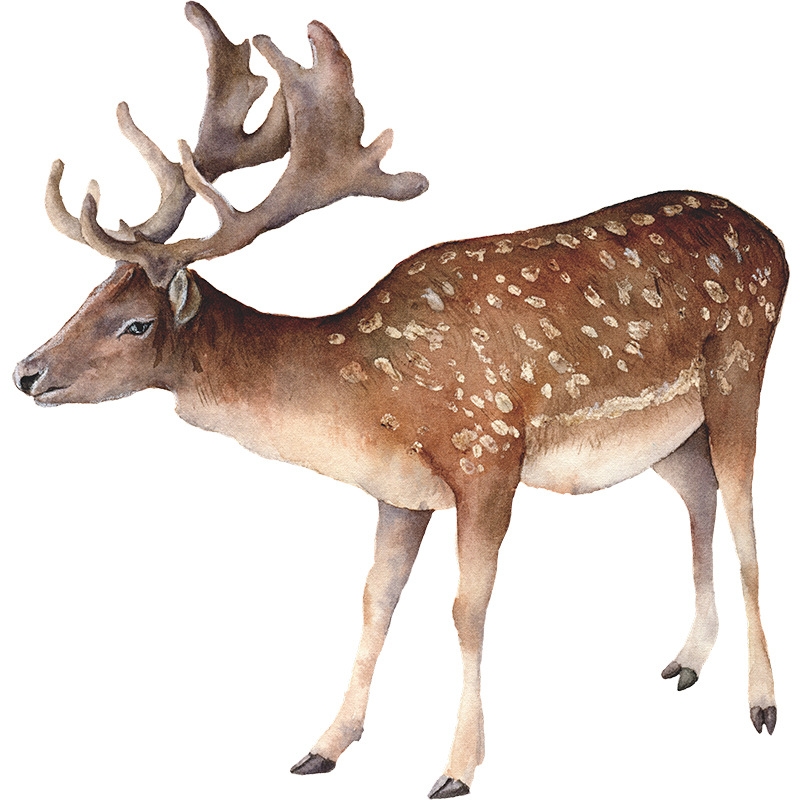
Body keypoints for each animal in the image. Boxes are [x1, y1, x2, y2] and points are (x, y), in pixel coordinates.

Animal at [12, 4, 788, 798]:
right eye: (88, 295)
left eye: (135, 324)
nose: (28, 372)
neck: (365, 397)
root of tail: (770, 236)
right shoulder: (398, 491)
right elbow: (374, 600)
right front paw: (324, 745)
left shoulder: (488, 454)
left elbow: (466, 610)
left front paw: (456, 767)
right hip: (671, 434)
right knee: (699, 495)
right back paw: (687, 660)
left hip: (740, 368)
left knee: (746, 517)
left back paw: (760, 704)